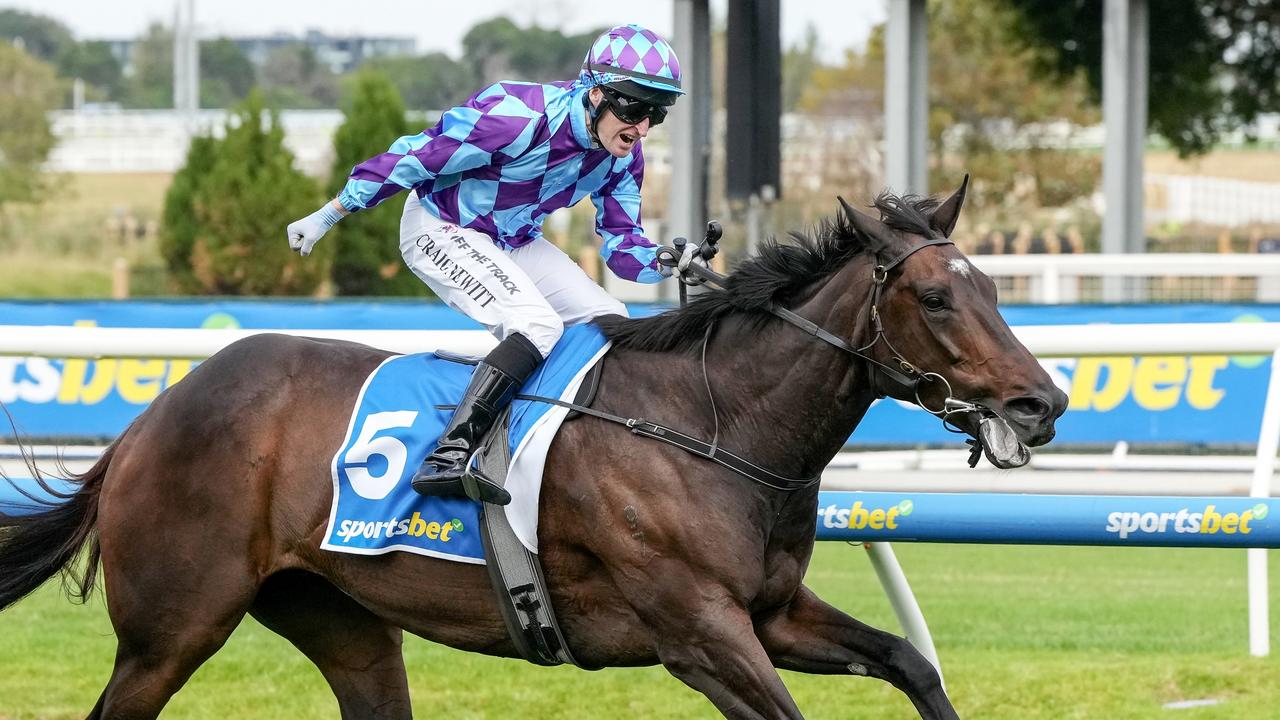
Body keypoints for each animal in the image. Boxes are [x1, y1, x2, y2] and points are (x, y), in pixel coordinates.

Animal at [0, 180, 1064, 717]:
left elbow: (912, 663)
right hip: (172, 630)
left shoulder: (769, 613)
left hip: (345, 626)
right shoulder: (699, 634)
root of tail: (151, 417)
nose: (1043, 400)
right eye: (936, 298)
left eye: (995, 289)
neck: (712, 424)